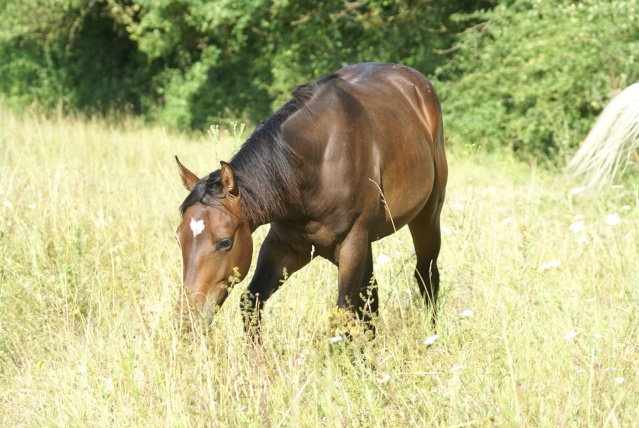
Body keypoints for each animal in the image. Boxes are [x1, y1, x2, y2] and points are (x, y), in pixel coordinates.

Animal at [172, 62, 448, 338]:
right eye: (178, 238)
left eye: (225, 242)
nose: (187, 319)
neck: (316, 164)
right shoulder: (286, 248)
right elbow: (251, 302)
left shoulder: (351, 245)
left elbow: (343, 313)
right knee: (371, 299)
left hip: (426, 218)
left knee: (426, 274)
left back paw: (432, 333)